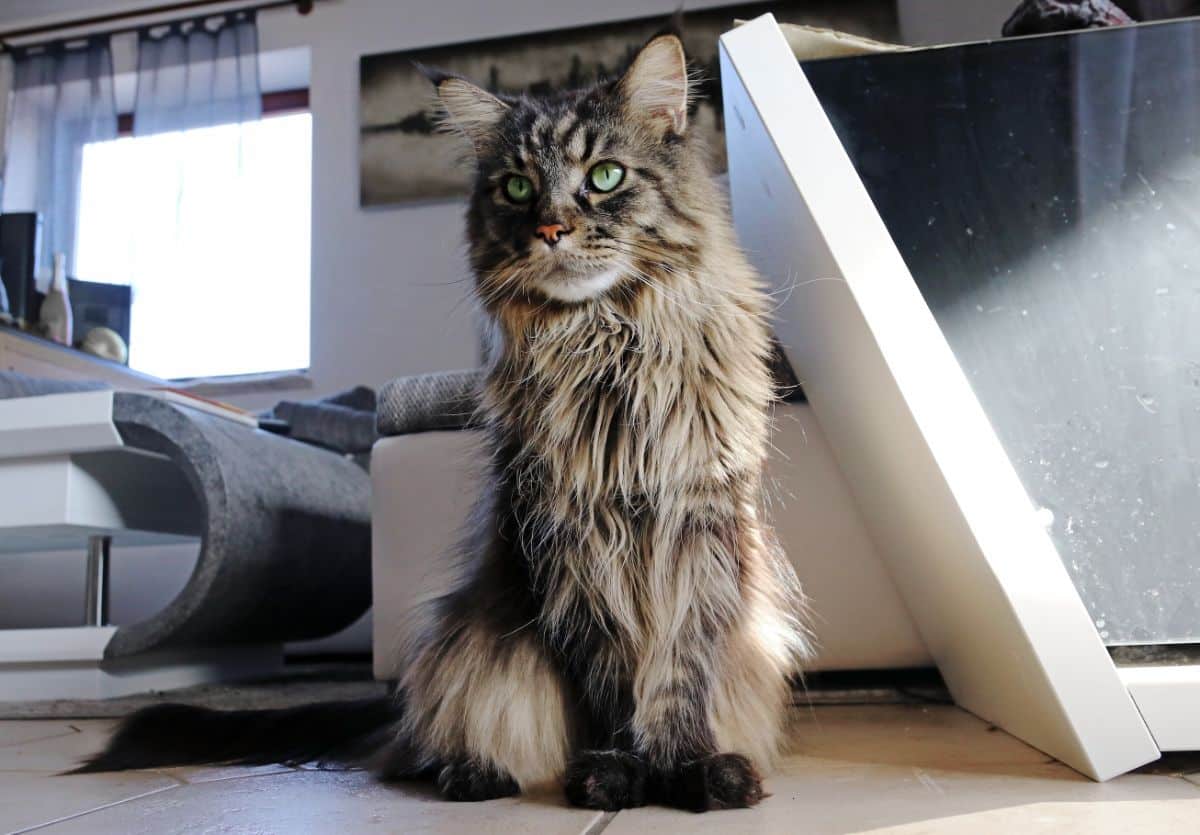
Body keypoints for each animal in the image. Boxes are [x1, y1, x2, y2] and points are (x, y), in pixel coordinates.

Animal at [75, 29, 811, 811]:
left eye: (606, 176)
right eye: (516, 187)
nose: (551, 228)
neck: (605, 348)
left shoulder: (698, 526)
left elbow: (678, 673)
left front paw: (689, 767)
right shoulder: (566, 534)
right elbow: (610, 677)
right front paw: (614, 771)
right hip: (462, 657)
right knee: (421, 745)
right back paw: (474, 773)